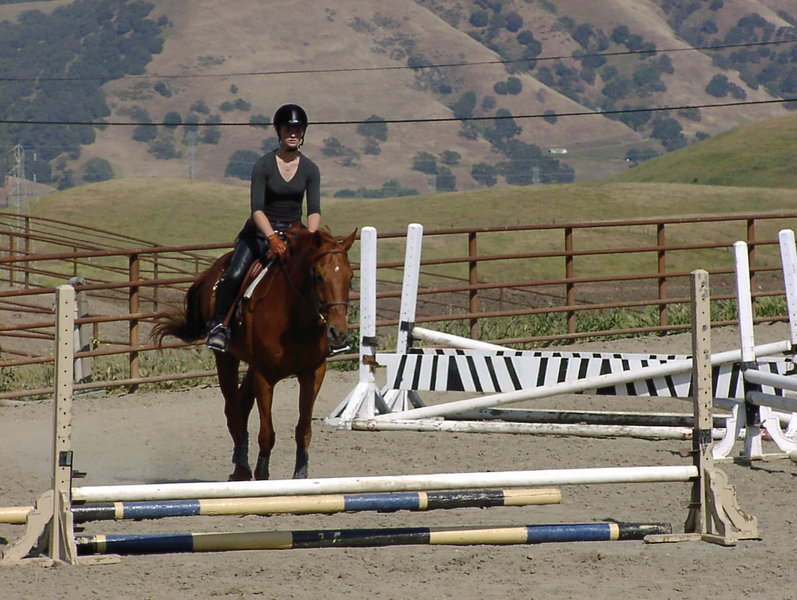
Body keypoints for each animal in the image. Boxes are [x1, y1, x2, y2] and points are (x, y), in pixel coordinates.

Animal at [153, 225, 357, 481]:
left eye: (350, 277)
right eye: (319, 276)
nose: (338, 333)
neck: (295, 319)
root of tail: (213, 271)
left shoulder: (313, 372)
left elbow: (303, 429)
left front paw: (300, 475)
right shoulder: (265, 376)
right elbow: (267, 433)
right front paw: (261, 473)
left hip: (252, 364)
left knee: (242, 403)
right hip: (226, 359)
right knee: (233, 410)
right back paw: (242, 468)